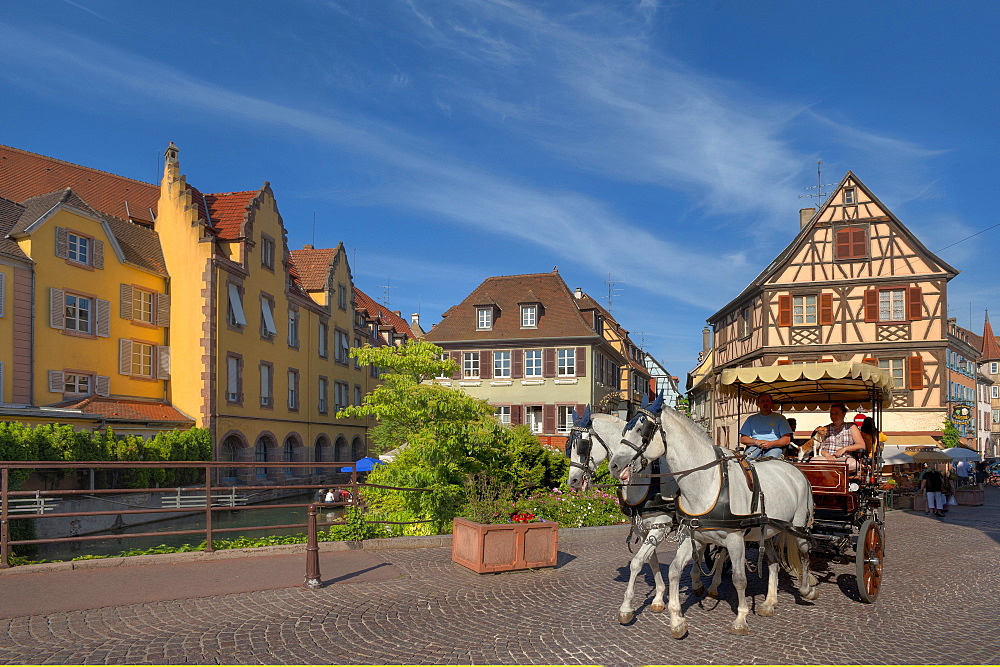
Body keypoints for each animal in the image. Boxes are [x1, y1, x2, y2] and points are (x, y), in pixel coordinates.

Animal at [564, 408, 728, 628]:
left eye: (582, 445)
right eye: (568, 446)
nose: (572, 480)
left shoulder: (661, 525)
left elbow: (637, 562)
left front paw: (626, 608)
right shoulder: (643, 529)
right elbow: (651, 560)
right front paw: (658, 598)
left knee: (722, 552)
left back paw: (714, 586)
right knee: (700, 550)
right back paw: (696, 582)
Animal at [604, 394, 816, 640]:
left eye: (641, 429)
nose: (614, 465)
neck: (707, 483)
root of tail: (794, 470)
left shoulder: (734, 539)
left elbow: (739, 578)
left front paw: (741, 619)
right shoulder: (691, 535)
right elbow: (674, 570)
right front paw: (676, 619)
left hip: (798, 527)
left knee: (804, 552)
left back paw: (807, 589)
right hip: (768, 531)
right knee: (773, 563)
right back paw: (769, 602)